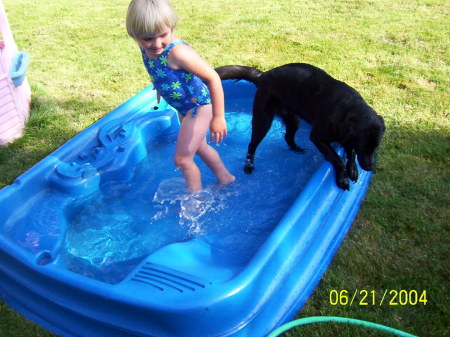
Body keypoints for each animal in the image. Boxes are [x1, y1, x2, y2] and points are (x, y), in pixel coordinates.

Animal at [216, 63, 384, 189]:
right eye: (363, 146)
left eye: (376, 147)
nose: (370, 168)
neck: (348, 109)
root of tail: (263, 76)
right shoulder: (317, 137)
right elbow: (338, 158)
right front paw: (343, 178)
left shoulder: (346, 138)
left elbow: (350, 152)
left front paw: (353, 170)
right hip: (263, 120)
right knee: (252, 145)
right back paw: (249, 166)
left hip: (293, 119)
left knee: (288, 137)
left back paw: (297, 149)